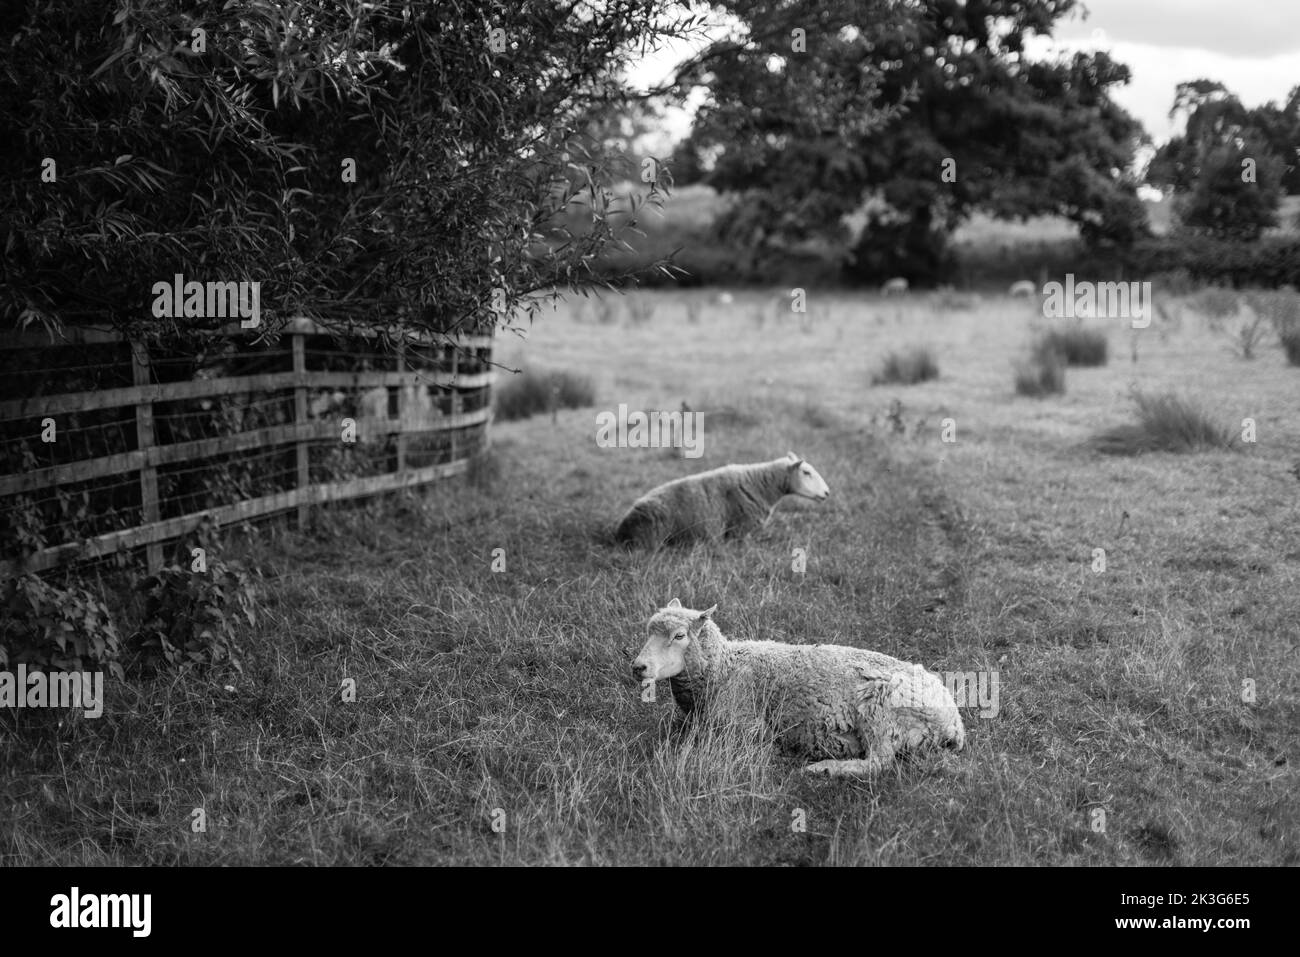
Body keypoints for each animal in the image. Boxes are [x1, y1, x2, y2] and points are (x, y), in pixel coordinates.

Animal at [631, 598, 967, 780]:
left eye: (679, 636)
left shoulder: (745, 728)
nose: (638, 667)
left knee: (878, 763)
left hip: (881, 712)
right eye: (647, 631)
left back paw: (824, 769)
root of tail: (955, 724)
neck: (724, 669)